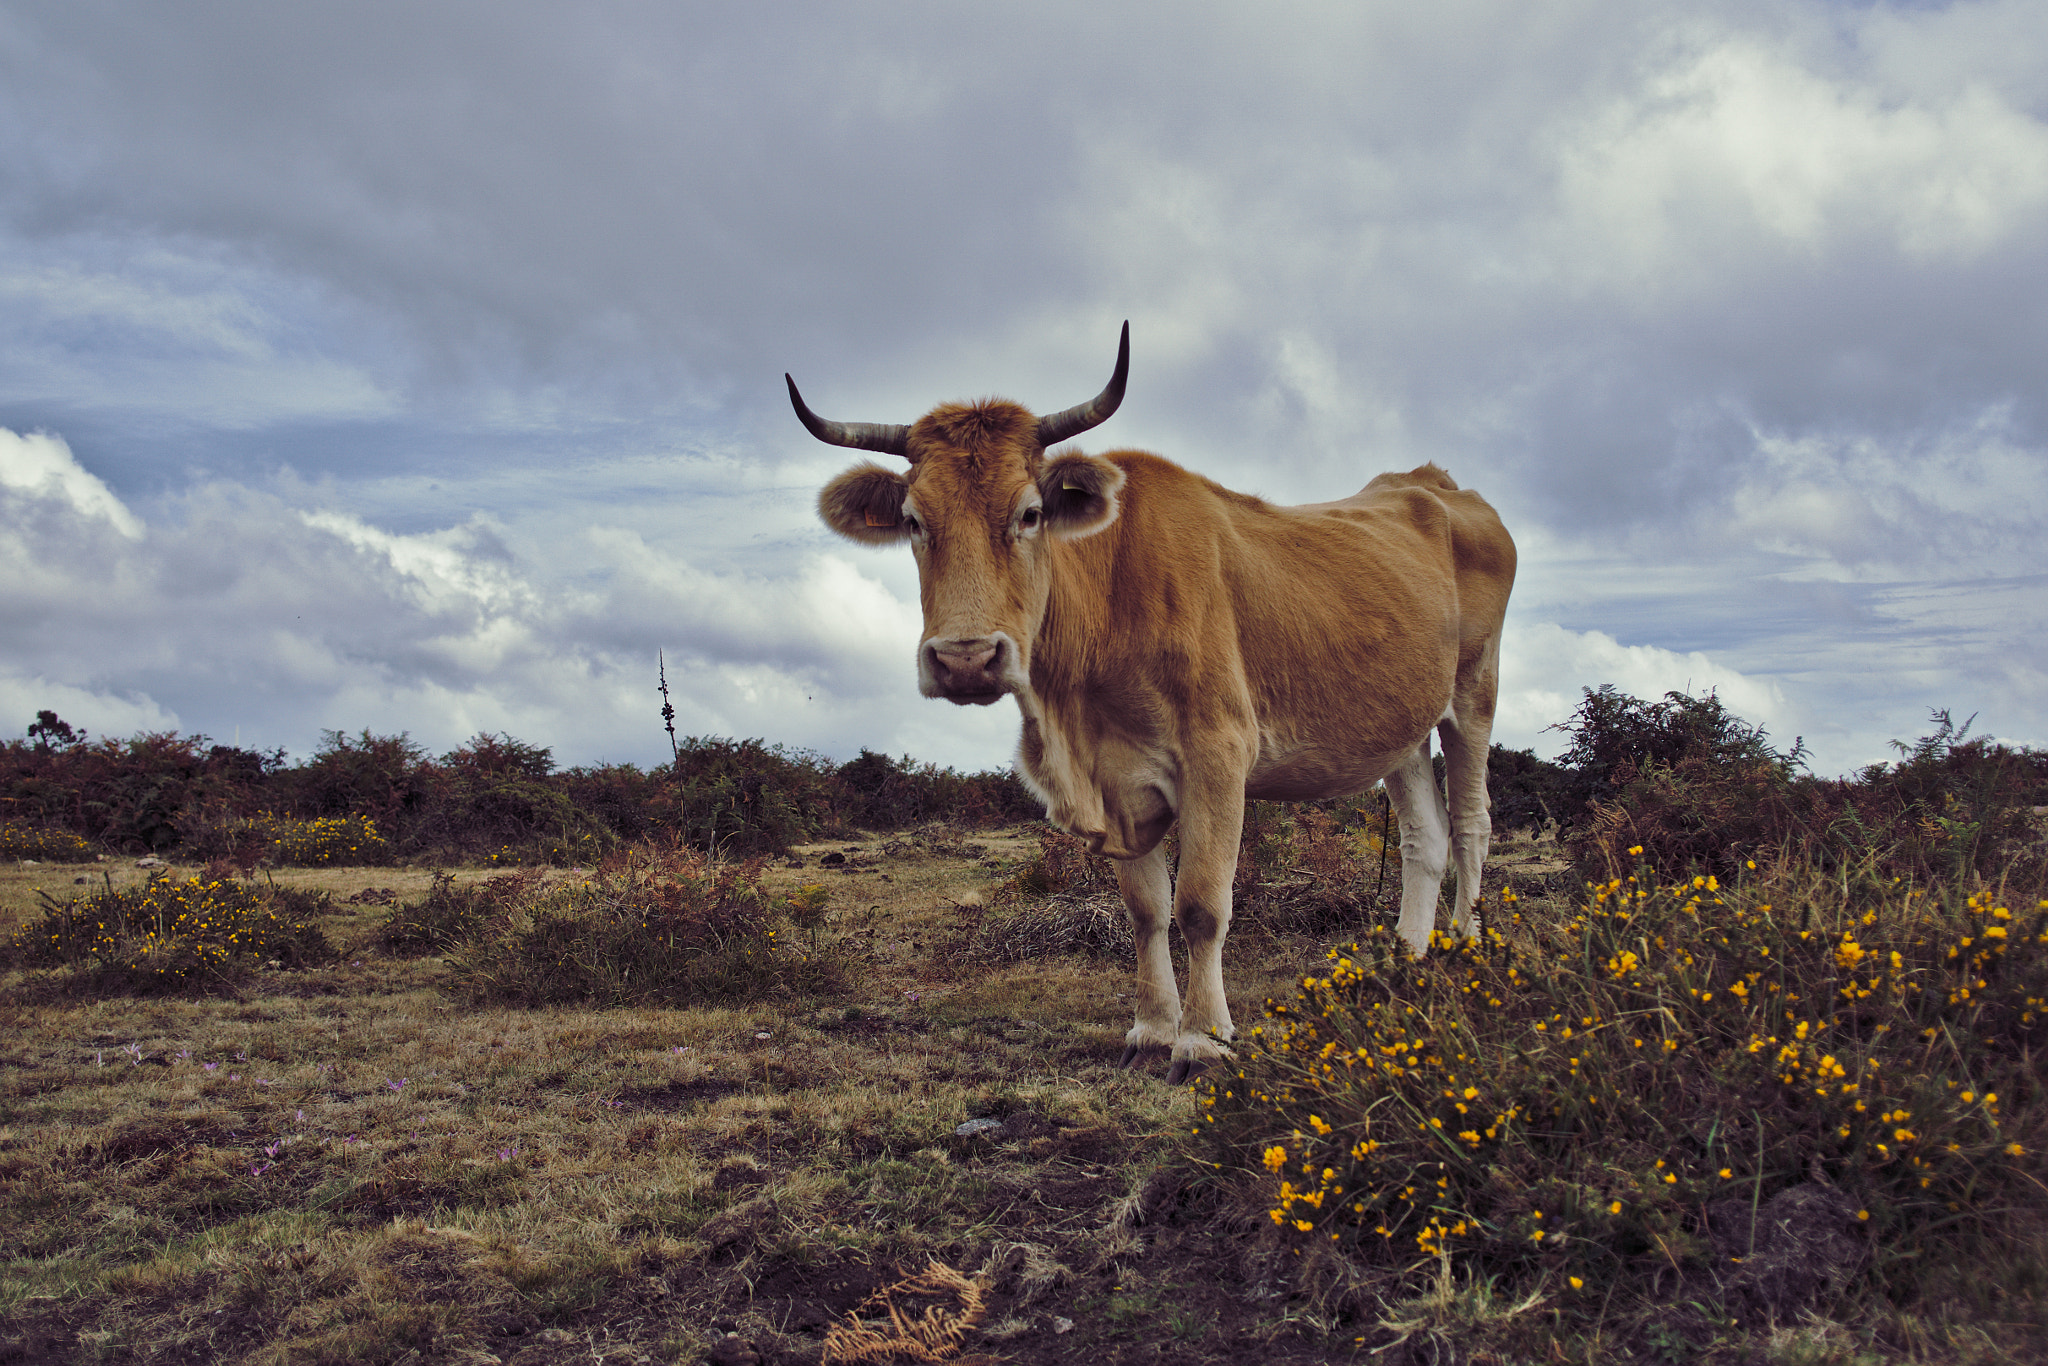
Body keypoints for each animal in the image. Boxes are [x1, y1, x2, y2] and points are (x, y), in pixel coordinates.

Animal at [790, 325, 1515, 1081]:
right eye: (913, 520)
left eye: (1030, 513)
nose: (965, 659)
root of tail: (1431, 484)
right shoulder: (1117, 784)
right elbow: (1146, 910)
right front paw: (1151, 1028)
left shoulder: (1219, 755)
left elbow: (1200, 904)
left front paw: (1203, 1038)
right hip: (1400, 728)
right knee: (1424, 837)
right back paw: (1403, 963)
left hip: (1474, 696)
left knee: (1471, 824)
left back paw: (1465, 952)